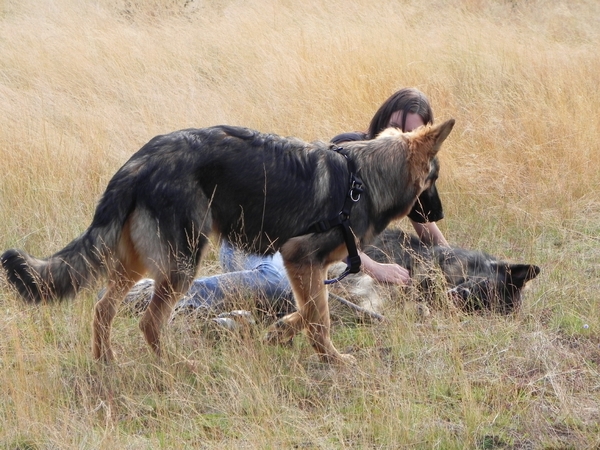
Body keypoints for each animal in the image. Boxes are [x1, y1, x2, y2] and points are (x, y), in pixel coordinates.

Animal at [1, 120, 454, 366]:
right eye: (433, 179)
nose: (440, 216)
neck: (363, 177)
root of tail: (141, 159)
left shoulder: (307, 270)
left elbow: (311, 312)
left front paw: (279, 332)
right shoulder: (300, 258)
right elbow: (319, 319)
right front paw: (335, 361)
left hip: (140, 262)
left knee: (102, 308)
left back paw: (106, 362)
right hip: (182, 264)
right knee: (150, 322)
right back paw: (174, 365)